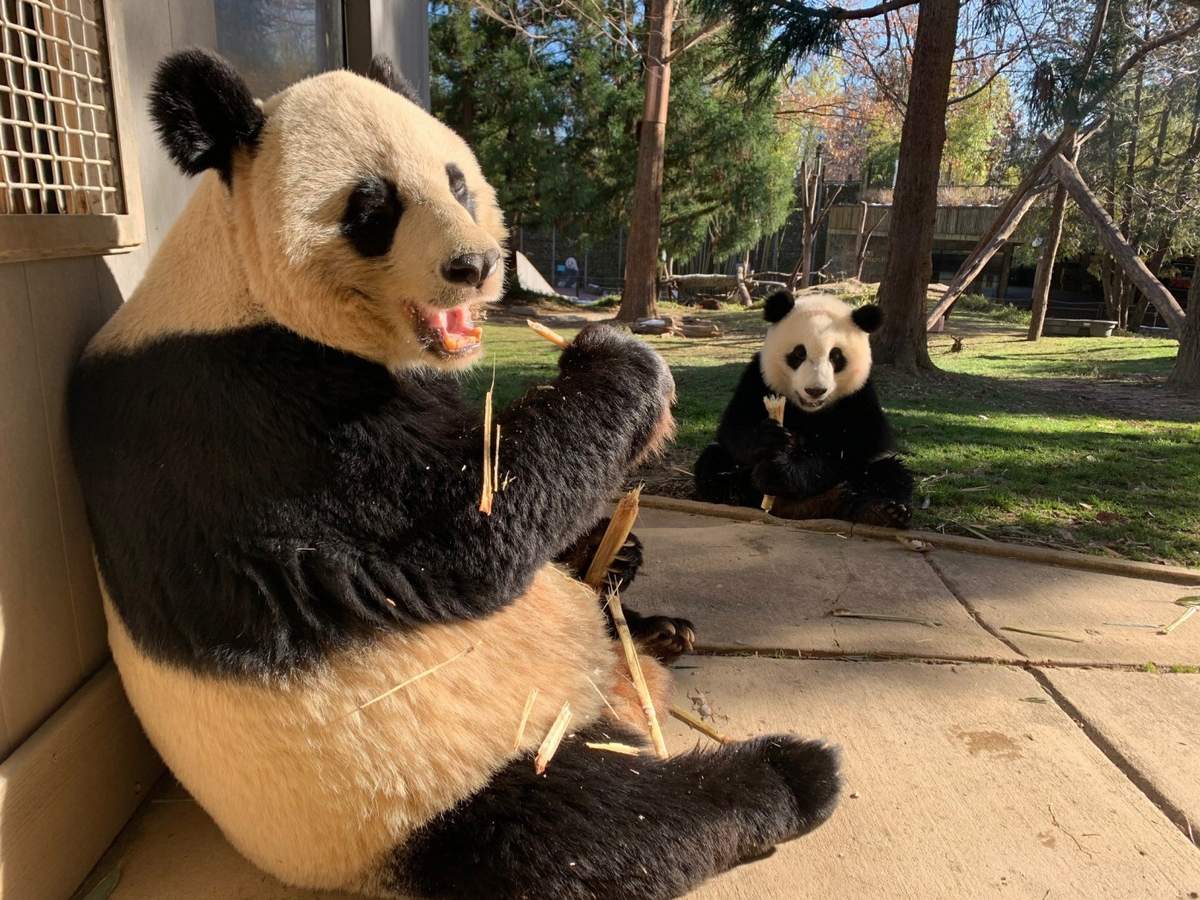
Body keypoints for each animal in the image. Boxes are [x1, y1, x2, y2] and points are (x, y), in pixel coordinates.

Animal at [65, 52, 835, 897]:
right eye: (372, 209)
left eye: (457, 183)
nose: (476, 266)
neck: (235, 285)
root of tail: (616, 699)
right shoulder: (245, 421)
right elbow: (465, 530)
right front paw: (622, 363)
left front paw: (618, 543)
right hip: (447, 774)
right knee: (598, 829)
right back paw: (789, 774)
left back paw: (655, 624)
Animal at [696, 292, 907, 525]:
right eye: (799, 353)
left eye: (836, 356)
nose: (815, 390)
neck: (809, 411)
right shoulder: (758, 378)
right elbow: (735, 427)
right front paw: (769, 438)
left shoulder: (859, 395)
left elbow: (851, 447)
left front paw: (779, 473)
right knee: (715, 459)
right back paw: (732, 494)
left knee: (888, 474)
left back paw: (880, 511)